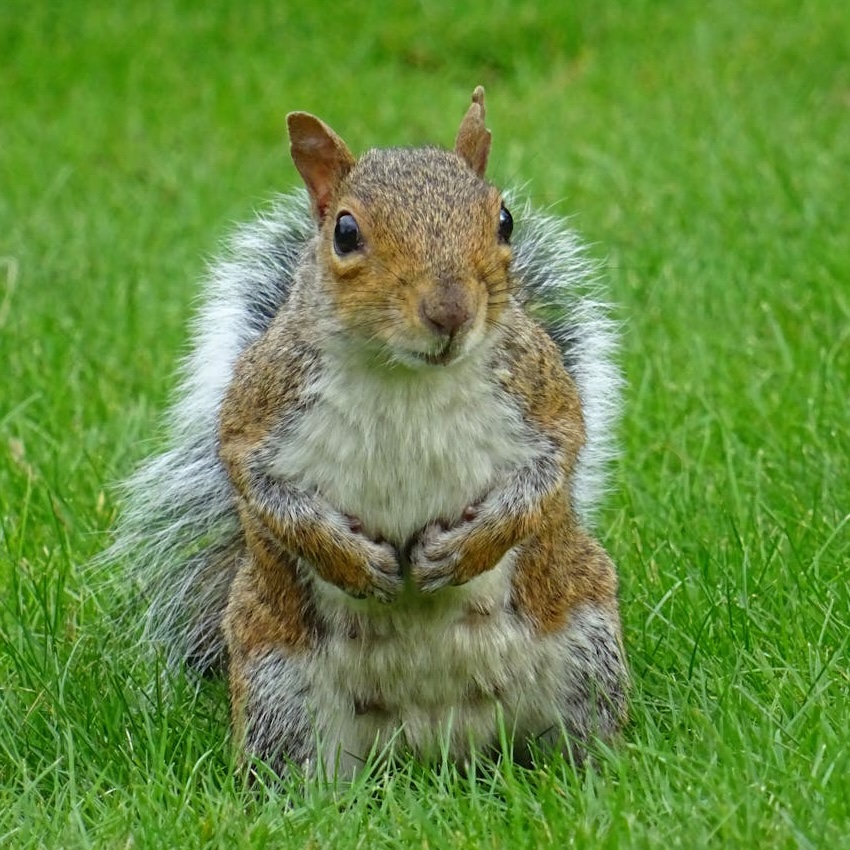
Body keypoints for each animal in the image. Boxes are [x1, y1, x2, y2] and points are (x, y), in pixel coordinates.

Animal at [107, 87, 628, 777]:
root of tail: (441, 750)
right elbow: (262, 490)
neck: (405, 376)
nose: (449, 311)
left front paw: (462, 551)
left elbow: (548, 477)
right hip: (279, 695)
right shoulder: (257, 413)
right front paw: (353, 561)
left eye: (505, 220)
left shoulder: (544, 399)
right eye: (346, 232)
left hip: (586, 651)